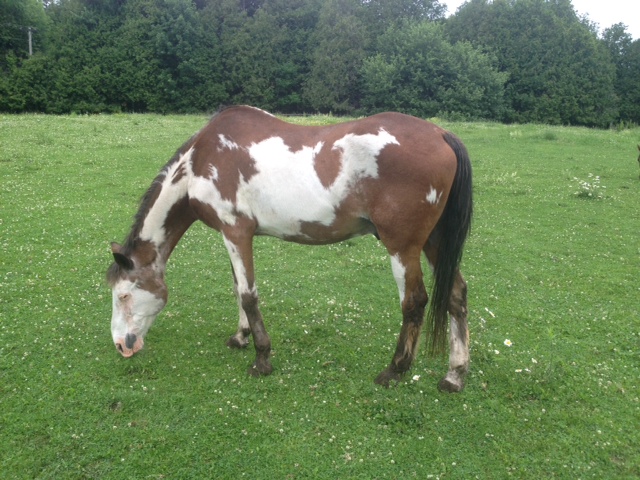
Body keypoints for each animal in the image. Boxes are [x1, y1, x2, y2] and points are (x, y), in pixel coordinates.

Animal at [106, 106, 473, 392]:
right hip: (434, 242)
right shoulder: (233, 236)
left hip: (403, 246)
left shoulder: (236, 231)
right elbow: (238, 288)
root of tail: (442, 134)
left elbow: (248, 295)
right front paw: (240, 338)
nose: (121, 346)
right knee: (456, 294)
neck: (202, 159)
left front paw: (261, 358)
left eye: (123, 295)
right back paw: (454, 375)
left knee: (415, 302)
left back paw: (395, 369)